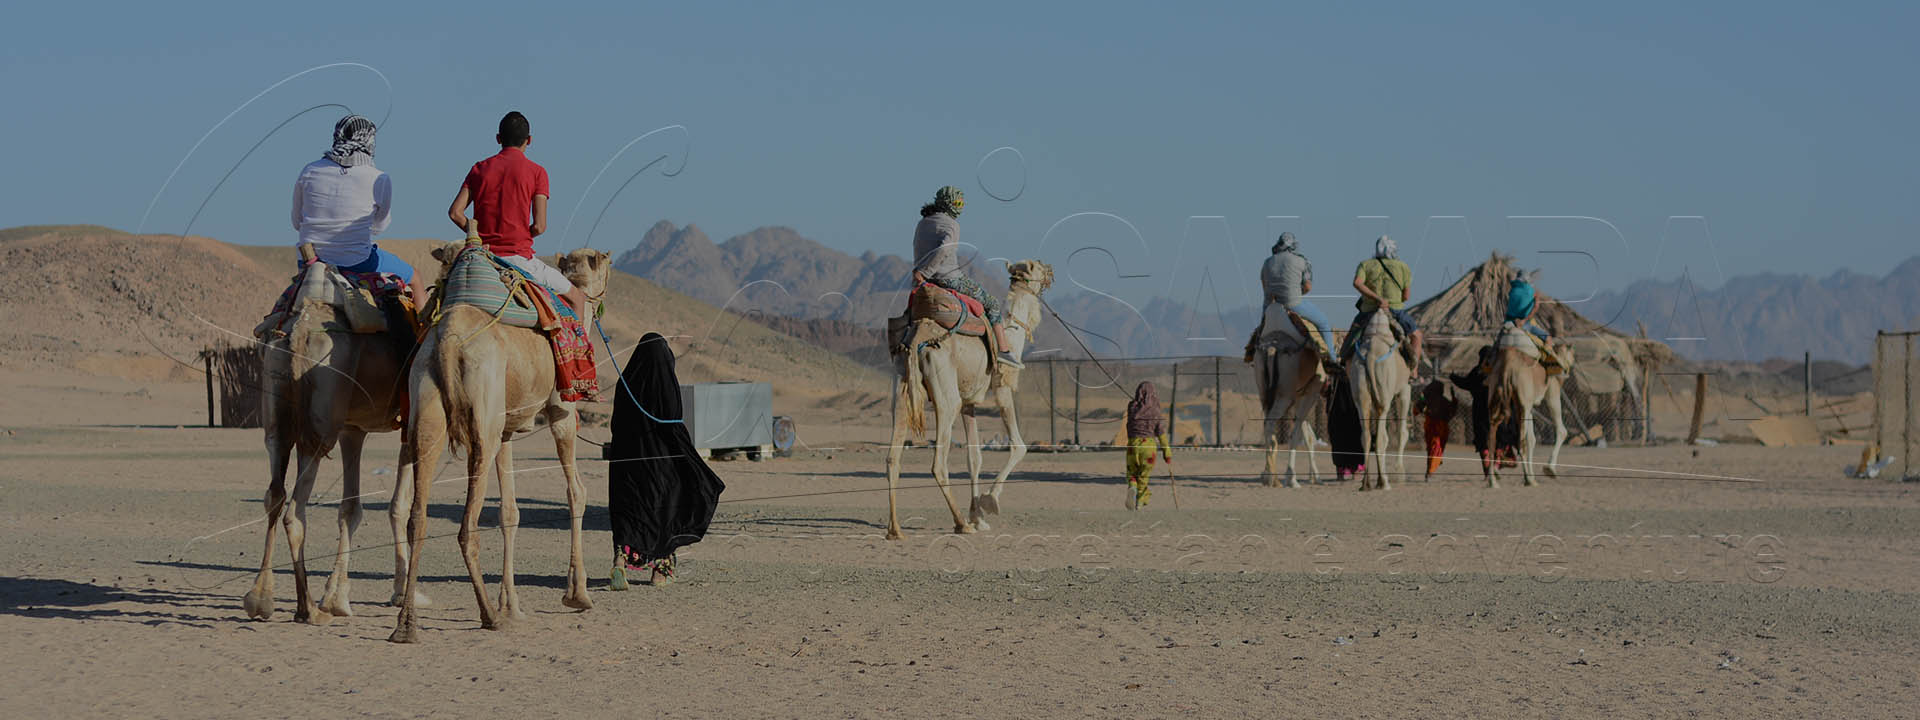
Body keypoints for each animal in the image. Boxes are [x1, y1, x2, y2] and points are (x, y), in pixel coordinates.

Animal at [243, 255, 432, 625]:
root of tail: (301, 327)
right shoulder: (409, 425)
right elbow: (399, 506)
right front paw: (404, 591)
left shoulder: (353, 430)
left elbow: (350, 508)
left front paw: (338, 596)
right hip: (319, 426)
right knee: (294, 511)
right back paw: (308, 609)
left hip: (277, 416)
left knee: (274, 493)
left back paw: (262, 599)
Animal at [384, 240, 606, 645]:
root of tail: (447, 340)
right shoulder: (561, 411)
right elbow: (576, 492)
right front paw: (577, 595)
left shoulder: (506, 430)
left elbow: (509, 512)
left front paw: (512, 605)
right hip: (482, 422)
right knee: (466, 526)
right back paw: (487, 615)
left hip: (428, 404)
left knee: (416, 517)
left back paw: (406, 625)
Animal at [879, 257, 1052, 537]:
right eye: (1035, 267)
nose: (1050, 272)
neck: (1012, 336)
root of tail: (917, 342)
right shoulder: (1002, 387)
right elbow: (1019, 445)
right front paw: (989, 502)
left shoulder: (969, 403)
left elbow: (975, 458)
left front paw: (978, 516)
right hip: (947, 398)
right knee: (938, 464)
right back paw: (960, 524)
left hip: (901, 390)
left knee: (892, 459)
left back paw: (895, 530)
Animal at [1351, 311, 1413, 491]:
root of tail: (1371, 356)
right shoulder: (1405, 390)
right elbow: (1402, 432)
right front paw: (1399, 472)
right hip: (1385, 394)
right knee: (1382, 437)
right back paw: (1383, 482)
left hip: (1360, 390)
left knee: (1366, 435)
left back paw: (1366, 484)